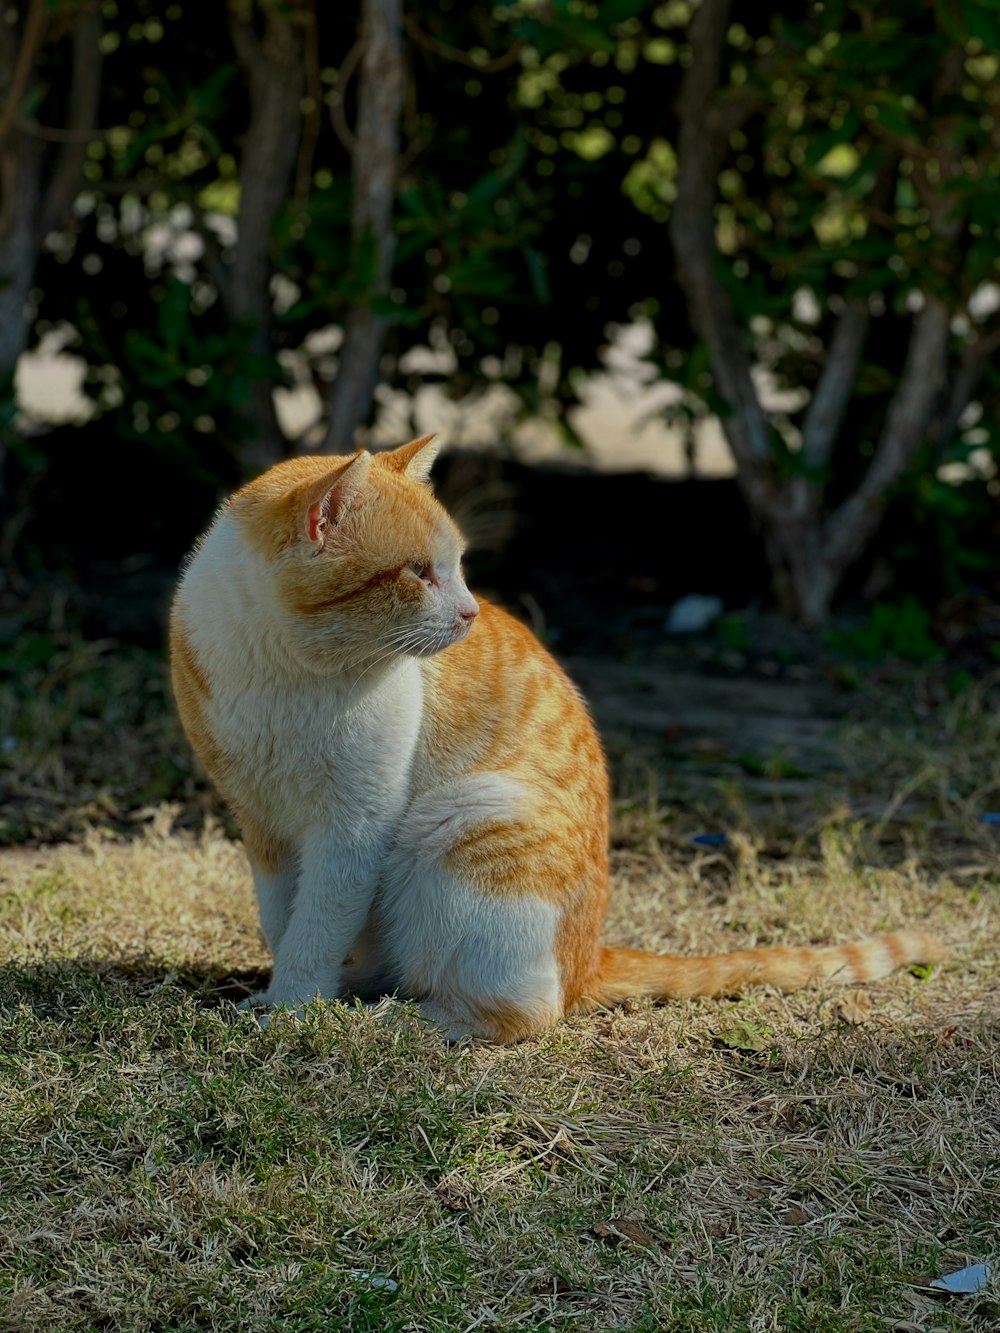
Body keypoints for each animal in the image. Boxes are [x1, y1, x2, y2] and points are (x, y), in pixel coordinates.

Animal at [172, 434, 949, 1039]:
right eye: (418, 573)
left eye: (455, 567)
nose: (469, 612)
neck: (286, 670)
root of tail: (590, 958)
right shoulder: (262, 822)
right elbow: (283, 918)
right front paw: (286, 992)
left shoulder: (354, 828)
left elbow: (319, 922)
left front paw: (294, 1009)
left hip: (465, 820)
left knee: (526, 1011)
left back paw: (400, 1017)